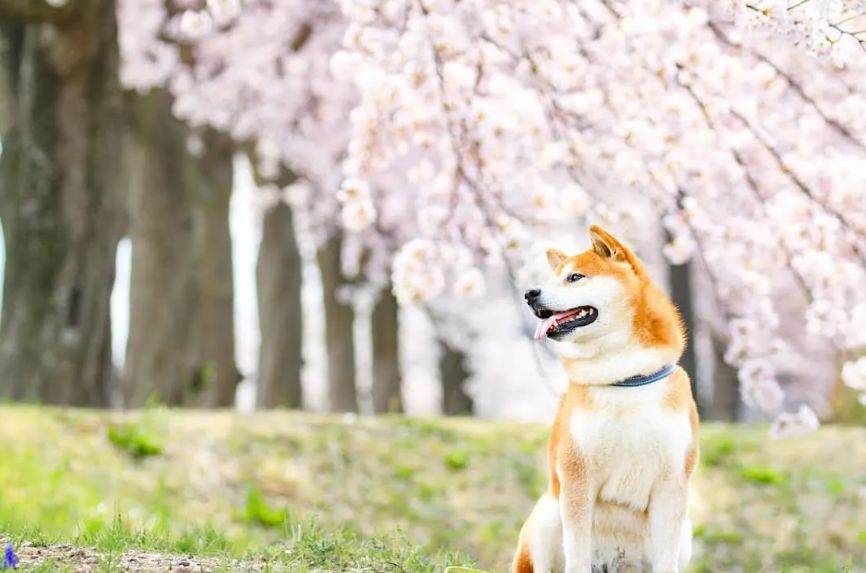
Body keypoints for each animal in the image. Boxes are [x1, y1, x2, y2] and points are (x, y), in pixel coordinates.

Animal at [510, 225, 700, 572]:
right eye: (554, 277)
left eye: (575, 277)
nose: (530, 293)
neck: (626, 379)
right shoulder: (577, 476)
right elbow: (577, 554)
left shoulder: (672, 482)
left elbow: (666, 559)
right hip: (547, 514)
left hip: (684, 533)